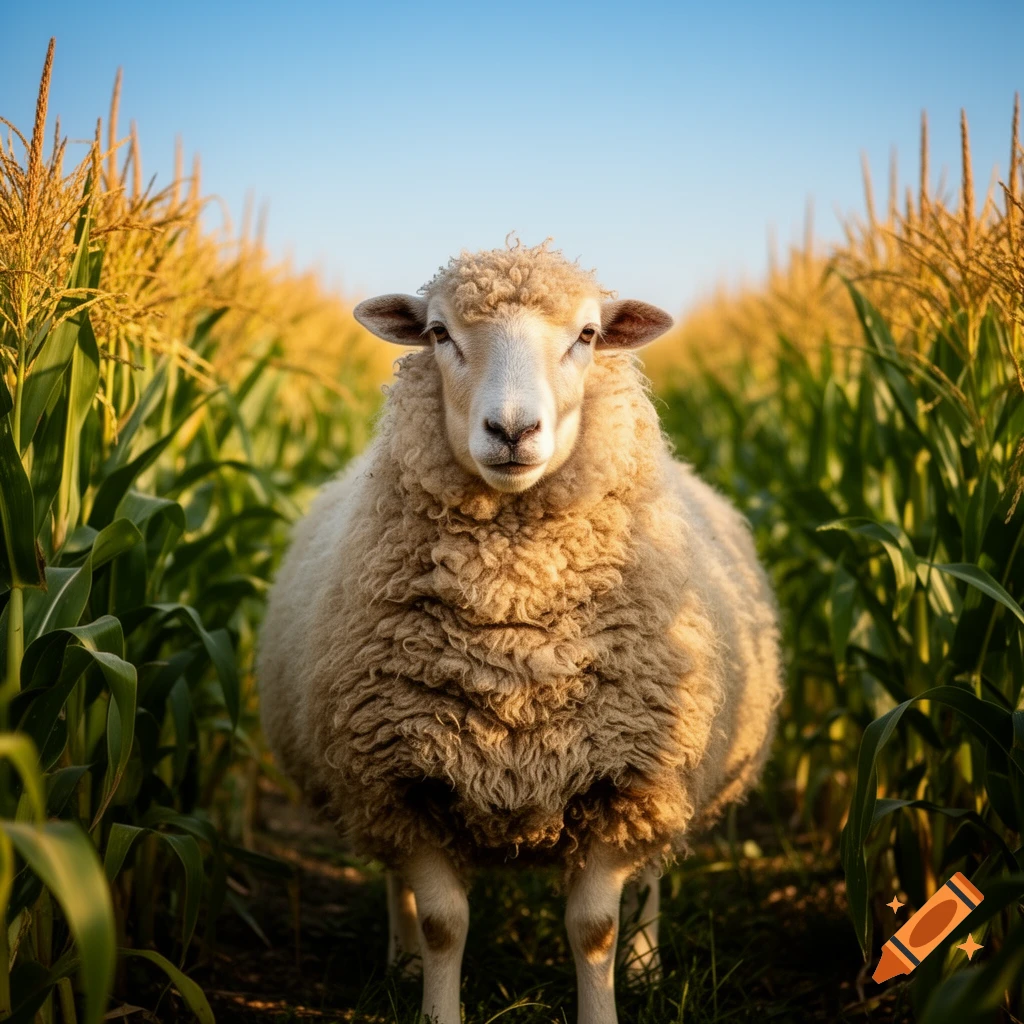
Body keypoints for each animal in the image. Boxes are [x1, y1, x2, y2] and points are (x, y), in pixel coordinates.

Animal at [257, 240, 783, 1024]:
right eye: (439, 333)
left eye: (588, 335)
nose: (511, 431)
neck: (512, 642)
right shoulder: (401, 778)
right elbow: (443, 921)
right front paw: (435, 1006)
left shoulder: (629, 776)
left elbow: (594, 927)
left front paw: (606, 1003)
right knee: (394, 879)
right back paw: (401, 963)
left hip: (678, 768)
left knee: (653, 870)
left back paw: (647, 965)